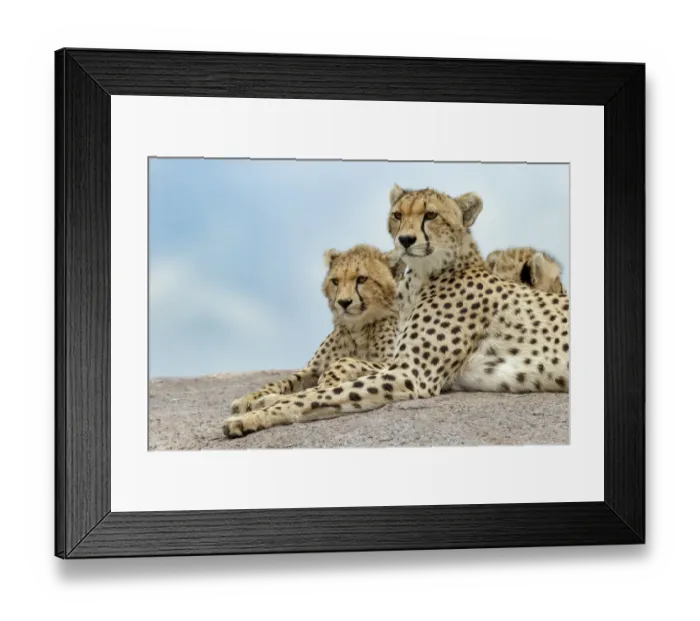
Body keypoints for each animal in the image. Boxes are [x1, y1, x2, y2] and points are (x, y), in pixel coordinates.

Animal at [228, 244, 404, 415]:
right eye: (335, 281)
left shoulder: (393, 363)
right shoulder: (312, 369)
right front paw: (248, 398)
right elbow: (284, 380)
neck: (358, 327)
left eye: (362, 279)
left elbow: (346, 362)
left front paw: (329, 378)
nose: (343, 302)